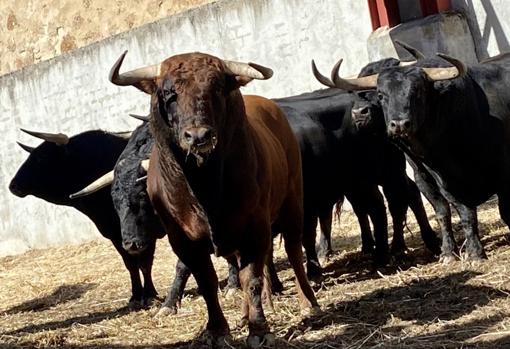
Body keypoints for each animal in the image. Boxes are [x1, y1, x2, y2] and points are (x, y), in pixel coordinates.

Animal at [109, 52, 318, 346]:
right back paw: (242, 315)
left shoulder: (255, 227)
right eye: (168, 94)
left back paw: (308, 303)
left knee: (294, 251)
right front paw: (218, 330)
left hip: (292, 203)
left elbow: (251, 278)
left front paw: (259, 330)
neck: (203, 186)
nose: (198, 136)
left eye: (217, 88)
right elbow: (206, 281)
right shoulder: (182, 240)